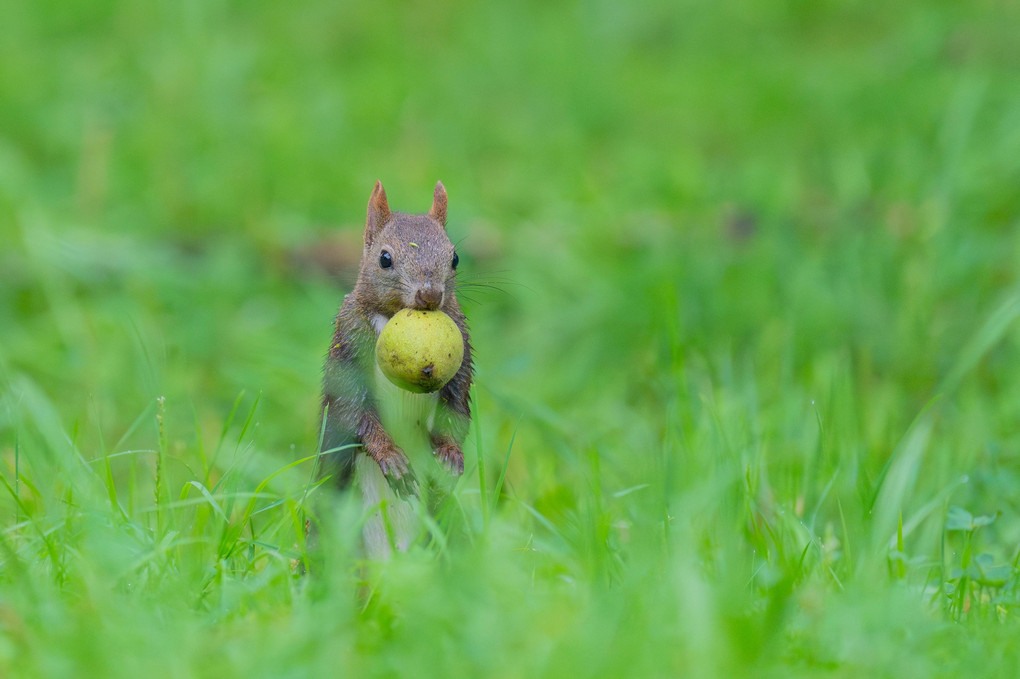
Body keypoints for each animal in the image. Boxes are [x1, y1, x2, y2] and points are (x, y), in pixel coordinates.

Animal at [316, 179, 471, 507]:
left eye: (454, 258)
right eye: (384, 259)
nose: (430, 294)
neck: (390, 316)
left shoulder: (463, 341)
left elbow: (456, 405)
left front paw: (451, 453)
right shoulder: (348, 338)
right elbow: (352, 407)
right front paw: (390, 456)